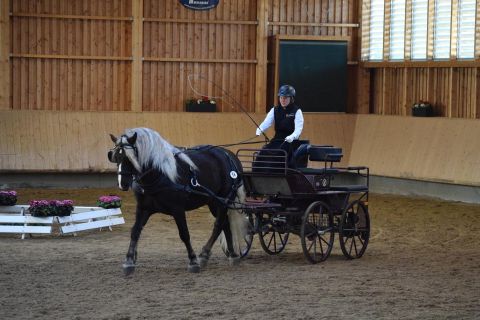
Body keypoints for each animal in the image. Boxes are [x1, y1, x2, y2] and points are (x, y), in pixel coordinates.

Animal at [107, 127, 246, 276]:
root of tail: (228, 154)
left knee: (219, 224)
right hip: (213, 202)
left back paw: (207, 254)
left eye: (130, 158)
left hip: (223, 200)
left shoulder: (177, 209)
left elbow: (184, 234)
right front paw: (129, 261)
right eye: (115, 158)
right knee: (225, 223)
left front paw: (193, 260)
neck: (160, 175)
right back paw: (230, 254)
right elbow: (135, 231)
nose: (122, 184)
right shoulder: (143, 208)